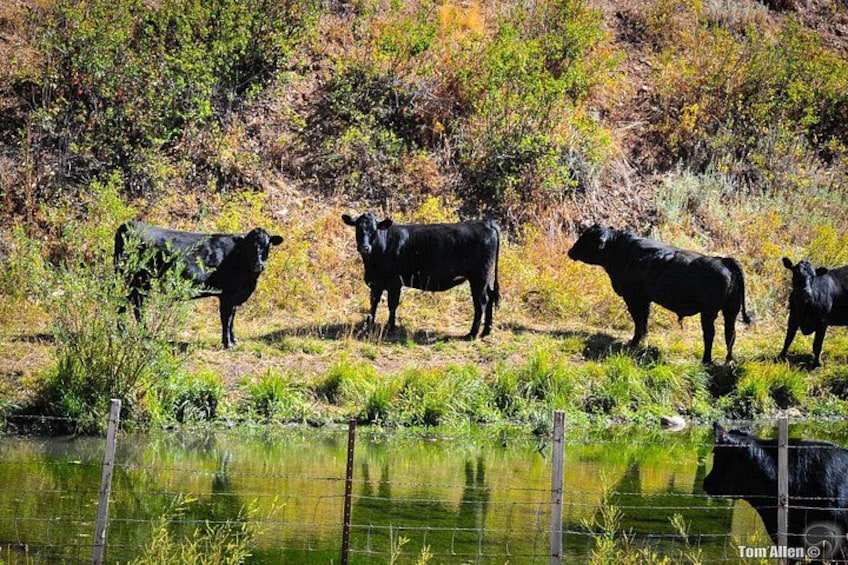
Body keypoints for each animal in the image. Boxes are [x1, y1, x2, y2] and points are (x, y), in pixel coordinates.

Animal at [114, 221, 282, 348]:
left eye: (267, 246)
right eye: (250, 246)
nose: (259, 265)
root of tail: (129, 224)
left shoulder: (235, 297)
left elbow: (232, 319)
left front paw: (234, 340)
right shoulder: (227, 295)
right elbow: (226, 319)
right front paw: (227, 343)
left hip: (140, 283)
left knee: (137, 305)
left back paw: (143, 333)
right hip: (128, 279)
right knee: (125, 303)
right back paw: (124, 333)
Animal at [341, 212, 500, 339]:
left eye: (374, 230)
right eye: (358, 228)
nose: (365, 247)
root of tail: (486, 223)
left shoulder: (394, 282)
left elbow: (392, 305)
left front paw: (390, 326)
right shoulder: (376, 282)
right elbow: (373, 303)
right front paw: (368, 324)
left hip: (479, 276)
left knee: (481, 302)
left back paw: (472, 334)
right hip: (485, 277)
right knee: (491, 296)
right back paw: (486, 331)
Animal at [567, 224, 750, 364]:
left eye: (586, 239)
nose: (570, 251)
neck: (624, 253)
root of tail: (723, 261)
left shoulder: (633, 297)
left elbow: (638, 320)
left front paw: (634, 341)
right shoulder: (644, 299)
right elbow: (644, 320)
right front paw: (642, 340)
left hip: (709, 312)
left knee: (710, 334)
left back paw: (706, 360)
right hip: (731, 311)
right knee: (730, 334)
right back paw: (728, 361)